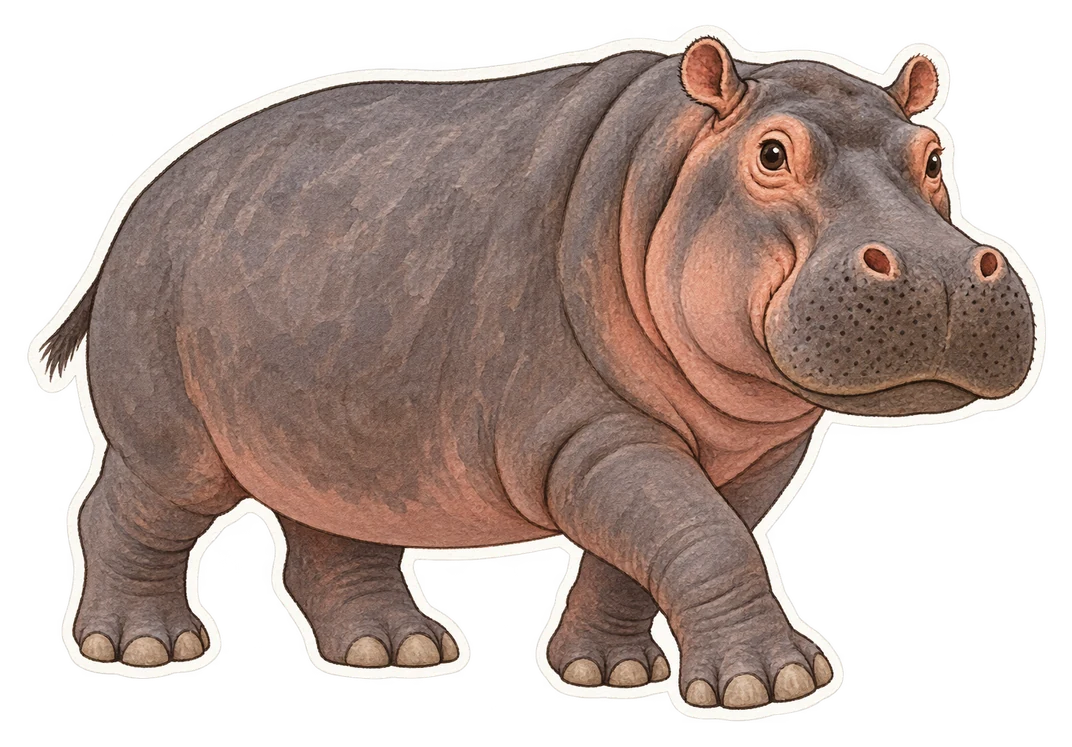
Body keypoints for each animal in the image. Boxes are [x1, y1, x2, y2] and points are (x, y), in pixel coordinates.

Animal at [31, 33, 1038, 713]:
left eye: (933, 156)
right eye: (772, 152)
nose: (943, 270)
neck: (667, 177)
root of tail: (137, 205)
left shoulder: (751, 457)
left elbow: (663, 545)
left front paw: (610, 673)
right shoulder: (592, 436)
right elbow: (703, 537)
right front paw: (778, 680)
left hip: (335, 431)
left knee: (334, 537)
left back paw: (396, 649)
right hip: (172, 434)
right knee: (128, 509)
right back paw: (144, 647)